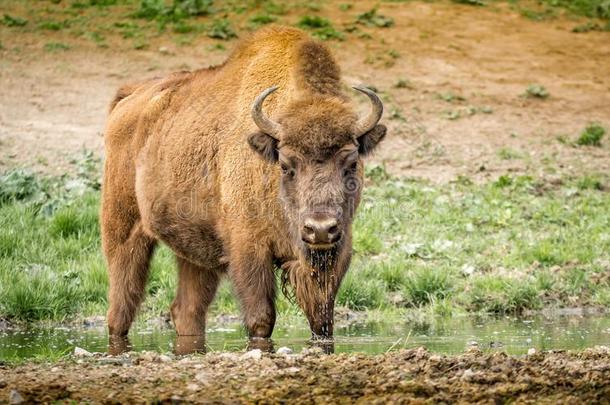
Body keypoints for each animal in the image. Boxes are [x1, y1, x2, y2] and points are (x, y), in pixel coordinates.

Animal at [100, 26, 384, 346]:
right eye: (286, 165)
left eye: (352, 163)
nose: (320, 229)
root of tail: (129, 98)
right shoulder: (249, 249)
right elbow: (262, 317)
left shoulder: (337, 252)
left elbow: (322, 320)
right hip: (123, 231)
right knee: (121, 302)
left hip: (195, 252)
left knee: (187, 308)